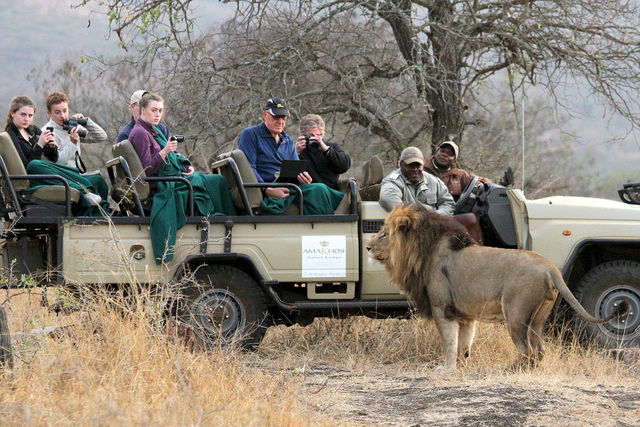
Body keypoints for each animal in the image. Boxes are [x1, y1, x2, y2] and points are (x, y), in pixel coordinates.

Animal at [368, 204, 624, 372]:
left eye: (384, 234)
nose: (368, 247)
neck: (424, 250)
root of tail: (550, 267)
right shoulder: (465, 316)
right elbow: (464, 344)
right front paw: (462, 366)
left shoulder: (443, 309)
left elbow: (449, 343)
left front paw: (446, 369)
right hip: (538, 317)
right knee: (539, 349)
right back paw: (529, 370)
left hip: (516, 313)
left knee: (526, 348)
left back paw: (510, 369)